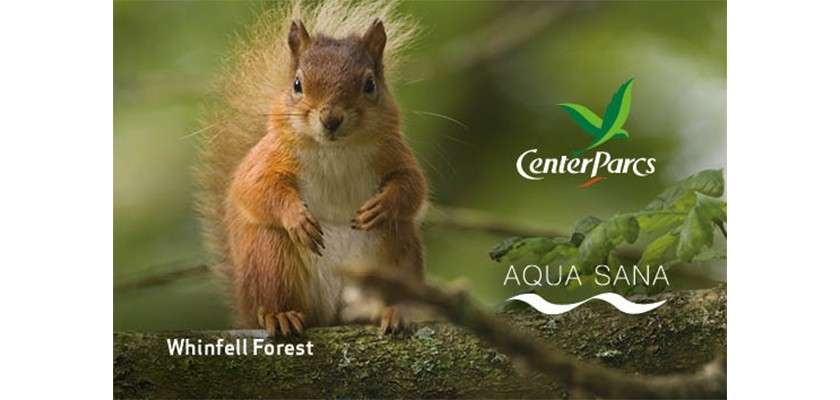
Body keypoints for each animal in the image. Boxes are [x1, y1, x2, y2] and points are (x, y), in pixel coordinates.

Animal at [196, 1, 426, 337]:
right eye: (297, 84)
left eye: (370, 84)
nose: (331, 119)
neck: (334, 149)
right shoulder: (267, 158)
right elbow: (253, 188)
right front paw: (296, 217)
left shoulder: (394, 153)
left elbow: (413, 185)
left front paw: (383, 206)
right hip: (271, 258)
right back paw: (279, 315)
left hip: (396, 251)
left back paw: (392, 311)